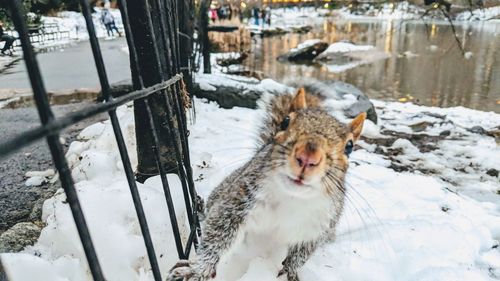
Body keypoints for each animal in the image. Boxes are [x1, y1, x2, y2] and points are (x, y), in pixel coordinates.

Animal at [168, 87, 368, 280]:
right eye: (286, 121)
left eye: (349, 146)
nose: (307, 157)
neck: (292, 197)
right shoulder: (237, 201)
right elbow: (217, 235)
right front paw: (197, 269)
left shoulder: (317, 228)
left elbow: (300, 255)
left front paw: (289, 273)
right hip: (223, 189)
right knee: (210, 210)